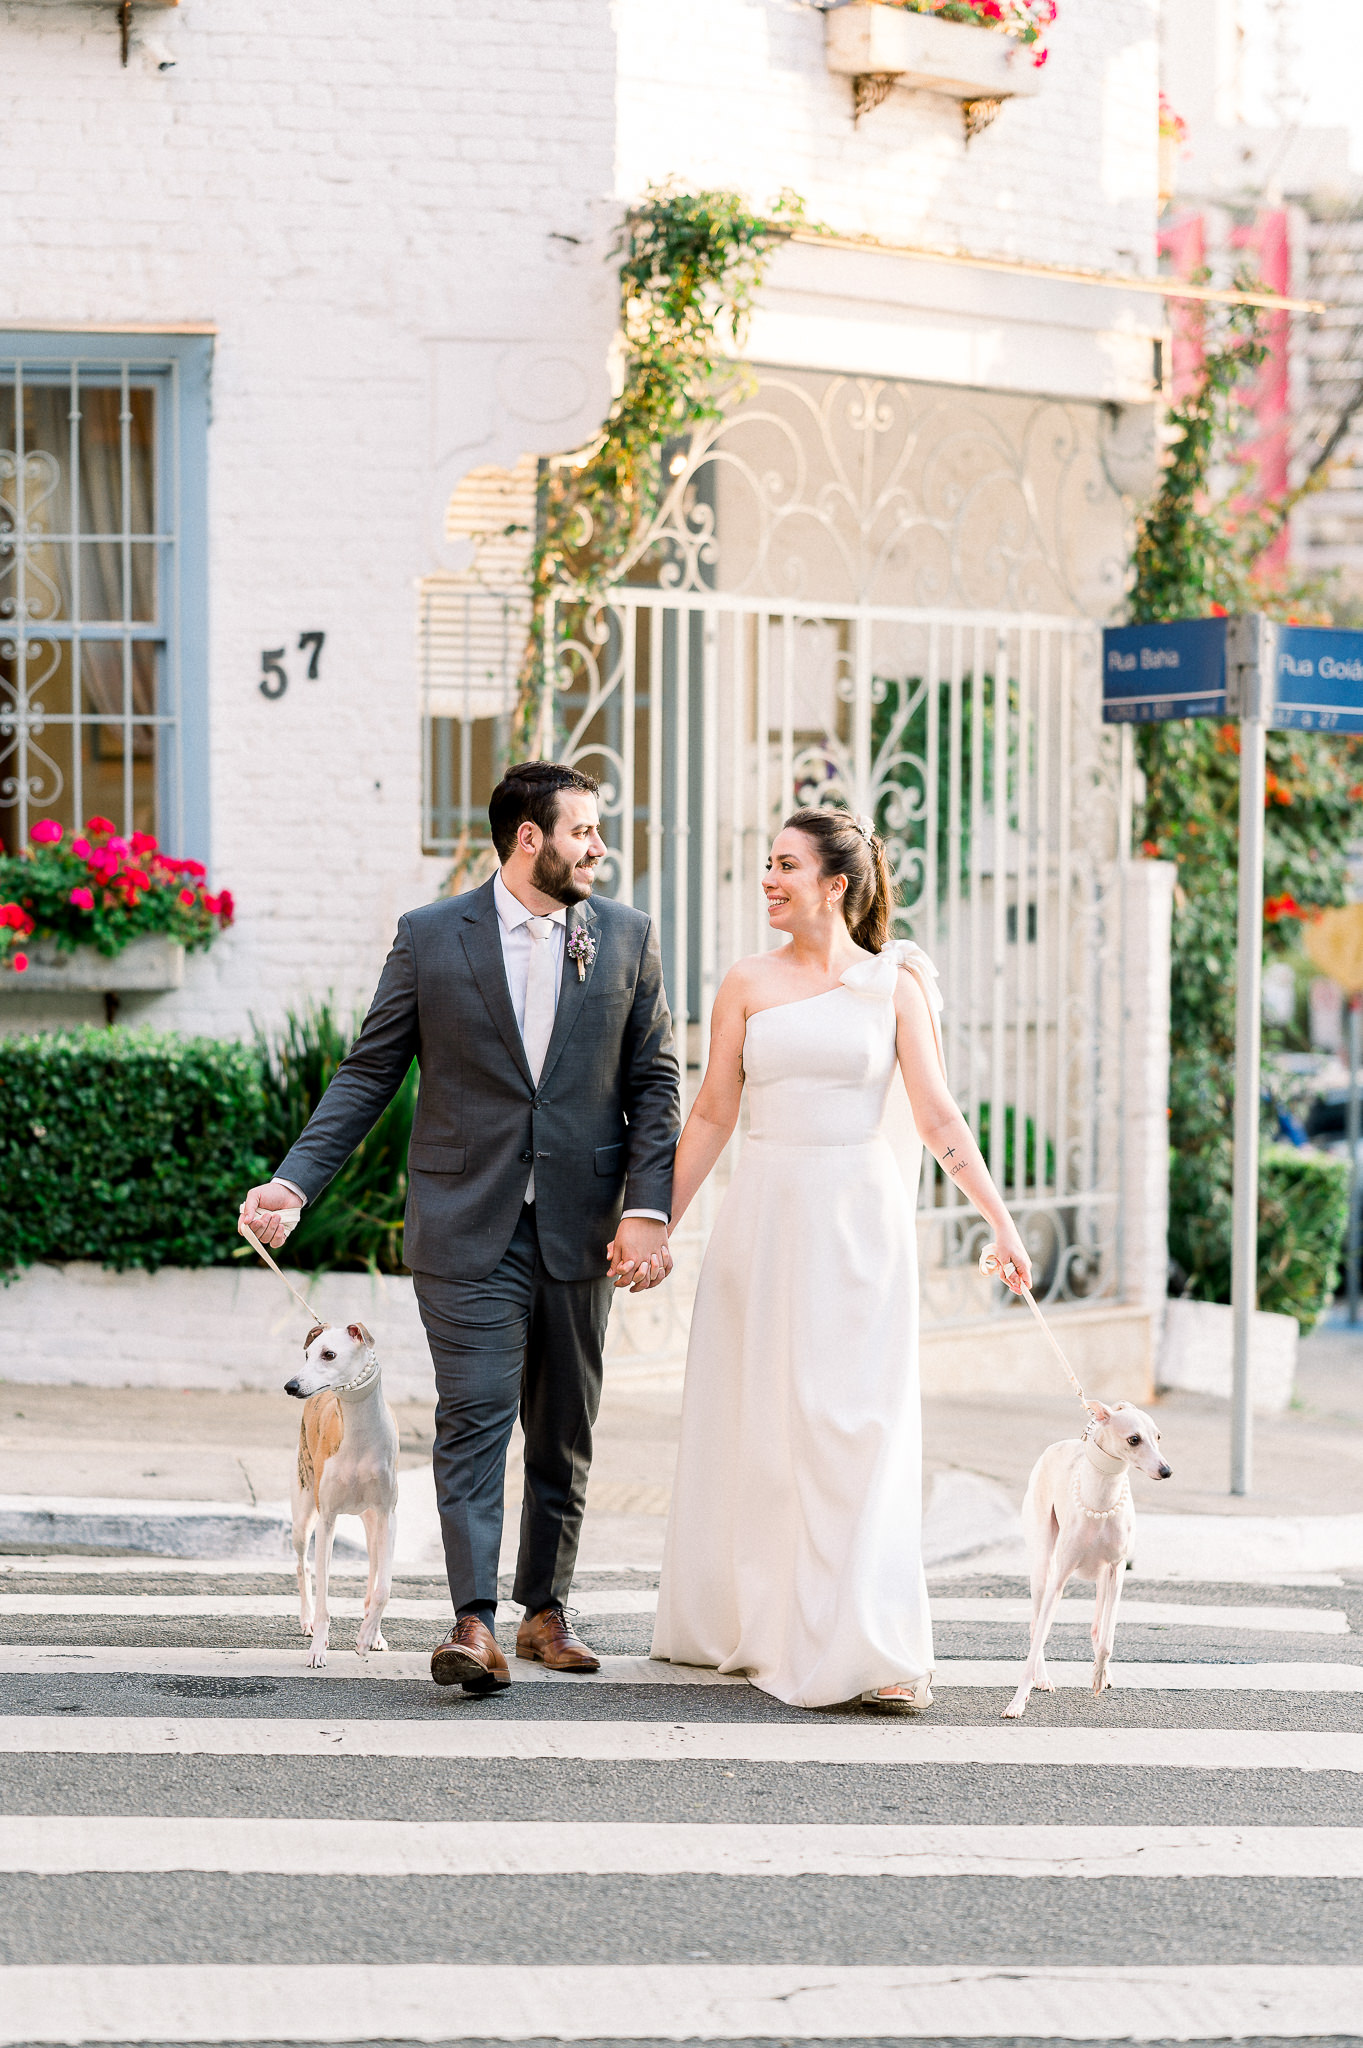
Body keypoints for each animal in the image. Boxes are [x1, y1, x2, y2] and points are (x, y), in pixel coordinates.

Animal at [284, 1318, 394, 1671]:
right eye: (307, 1354)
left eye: (329, 1354)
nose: (291, 1386)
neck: (359, 1434)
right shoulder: (327, 1520)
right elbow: (323, 1599)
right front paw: (318, 1649)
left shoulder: (388, 1516)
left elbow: (383, 1588)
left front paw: (367, 1637)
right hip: (303, 1515)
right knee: (302, 1565)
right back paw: (306, 1621)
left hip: (371, 1524)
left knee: (373, 1572)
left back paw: (374, 1634)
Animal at [998, 1400, 1170, 1720]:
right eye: (1134, 1439)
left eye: (1158, 1436)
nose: (1166, 1471)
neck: (1101, 1499)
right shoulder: (1060, 1577)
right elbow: (1039, 1637)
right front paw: (1017, 1701)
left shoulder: (1116, 1571)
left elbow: (1106, 1639)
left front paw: (1100, 1674)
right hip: (1043, 1564)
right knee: (1035, 1625)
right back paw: (1042, 1678)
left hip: (1102, 1577)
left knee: (1096, 1627)